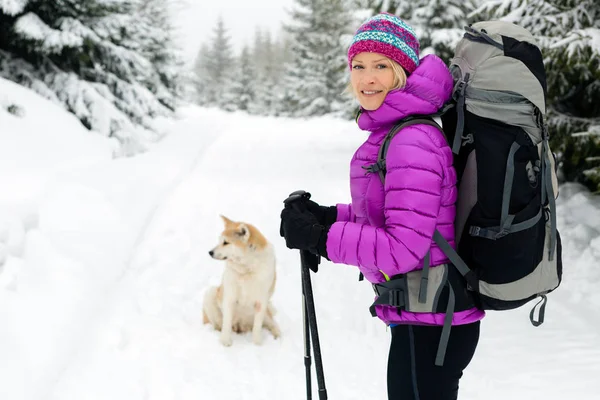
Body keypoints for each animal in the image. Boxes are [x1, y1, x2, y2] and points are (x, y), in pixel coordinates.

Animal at [203, 214, 280, 346]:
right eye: (220, 241)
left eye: (226, 242)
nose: (210, 252)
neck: (246, 269)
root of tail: (241, 326)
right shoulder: (229, 297)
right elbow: (226, 324)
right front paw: (225, 343)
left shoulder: (261, 301)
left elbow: (257, 328)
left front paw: (257, 345)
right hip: (211, 293)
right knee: (220, 325)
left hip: (266, 314)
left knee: (273, 325)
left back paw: (277, 336)